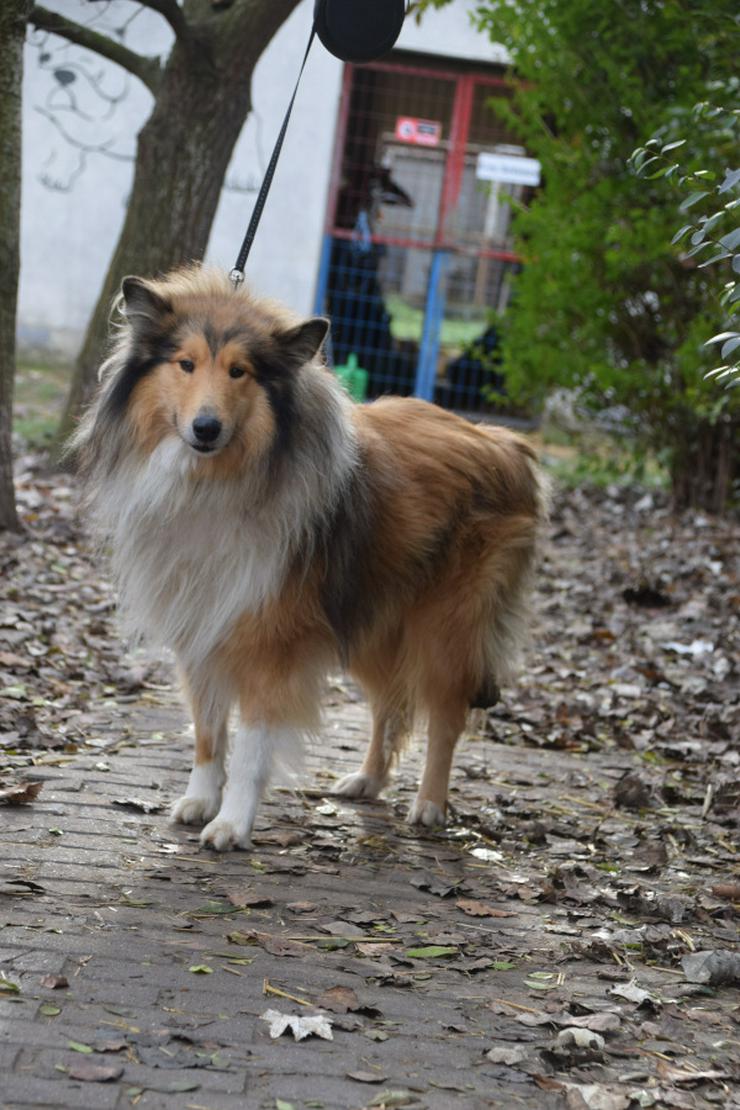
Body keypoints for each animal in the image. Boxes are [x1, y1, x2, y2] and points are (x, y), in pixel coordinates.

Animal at [75, 266, 548, 848]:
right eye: (185, 363)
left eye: (240, 371)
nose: (205, 428)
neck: (217, 481)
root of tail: (504, 442)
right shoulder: (201, 627)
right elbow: (208, 730)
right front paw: (200, 799)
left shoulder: (270, 642)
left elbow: (252, 746)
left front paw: (231, 823)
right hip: (371, 617)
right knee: (391, 704)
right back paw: (366, 781)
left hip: (446, 627)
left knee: (444, 716)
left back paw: (430, 805)